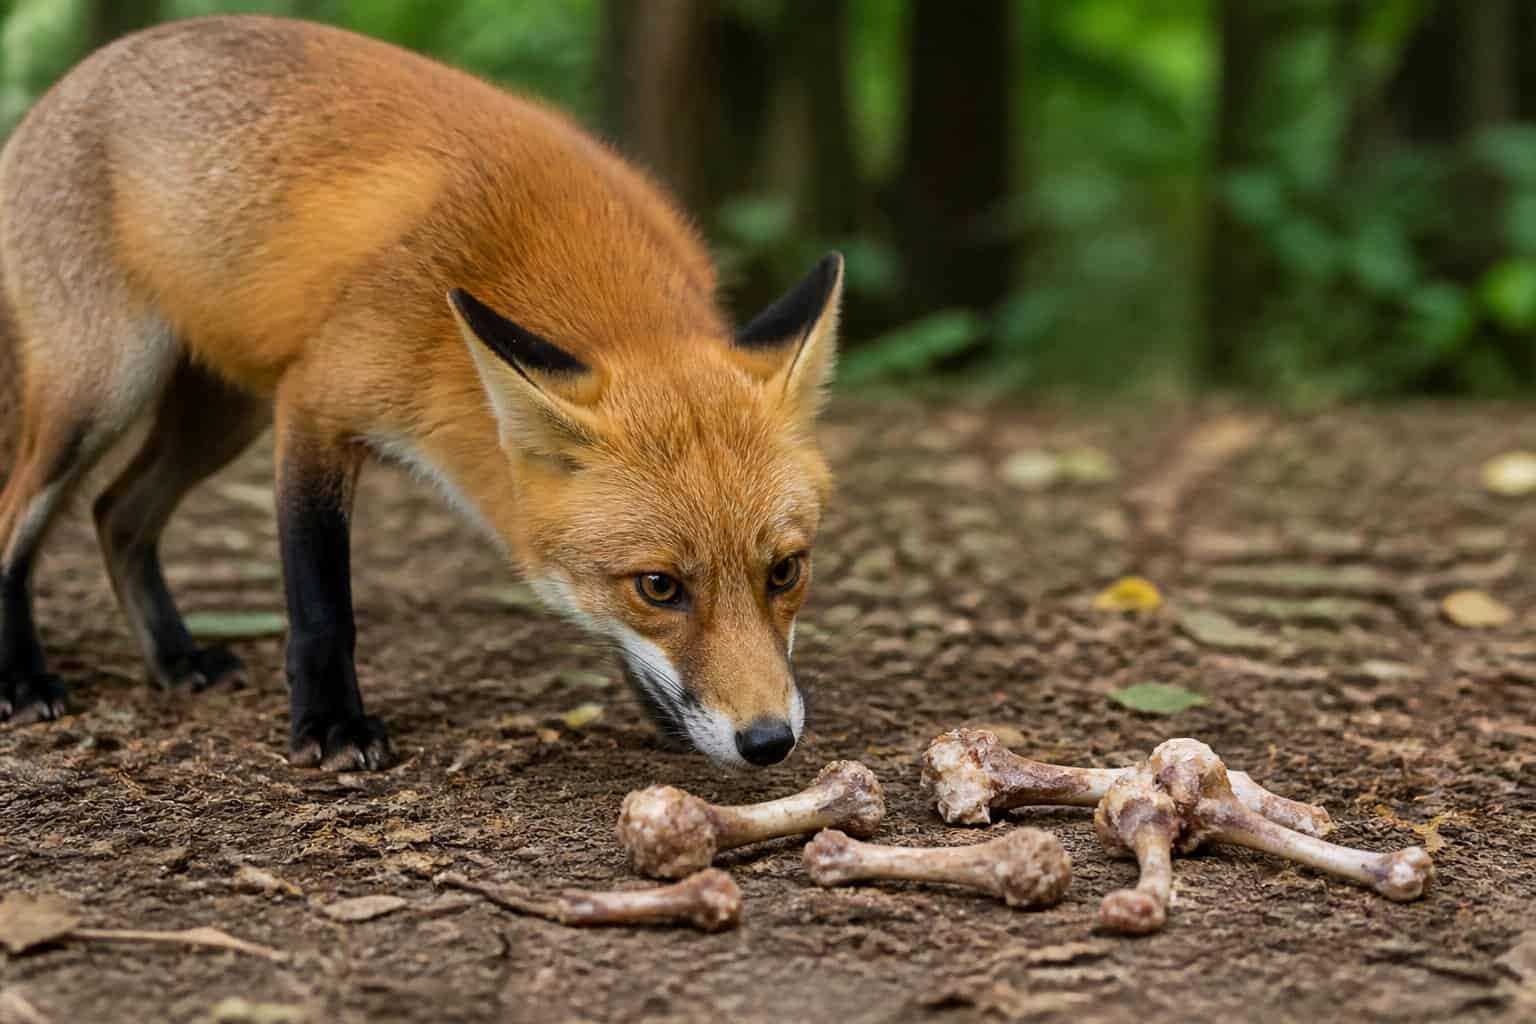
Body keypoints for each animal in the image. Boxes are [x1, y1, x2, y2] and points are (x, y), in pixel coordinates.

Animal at [0, 15, 842, 771]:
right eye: (659, 587)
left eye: (785, 571)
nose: (768, 742)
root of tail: (68, 85)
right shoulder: (315, 402)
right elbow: (321, 604)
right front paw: (332, 726)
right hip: (102, 391)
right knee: (20, 518)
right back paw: (22, 680)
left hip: (220, 415)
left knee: (117, 513)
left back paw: (175, 660)